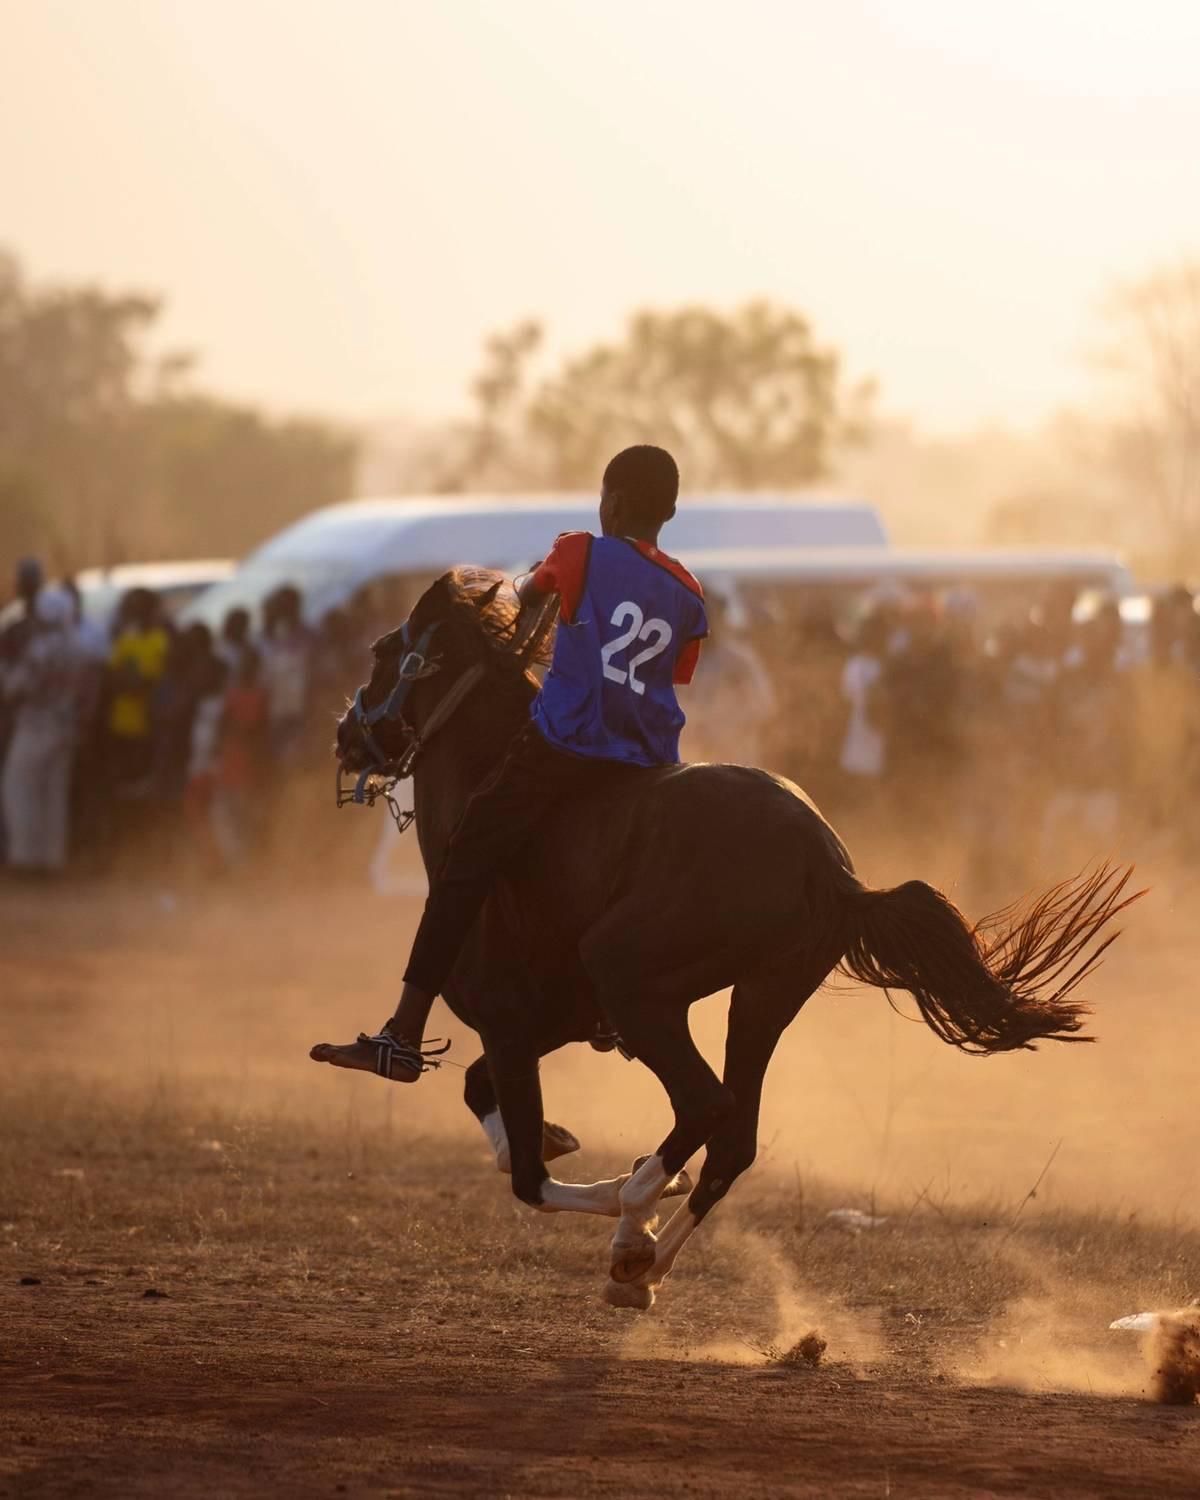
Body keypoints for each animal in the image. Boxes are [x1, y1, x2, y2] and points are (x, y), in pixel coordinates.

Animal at [330, 566, 1138, 1309]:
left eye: (382, 650)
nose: (344, 736)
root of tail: (827, 866)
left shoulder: (507, 1022)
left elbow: (526, 1172)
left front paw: (618, 1192)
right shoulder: (548, 1023)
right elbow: (486, 1104)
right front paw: (590, 1165)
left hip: (637, 985)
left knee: (705, 1106)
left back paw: (635, 1223)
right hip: (757, 999)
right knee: (733, 1134)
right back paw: (644, 1265)